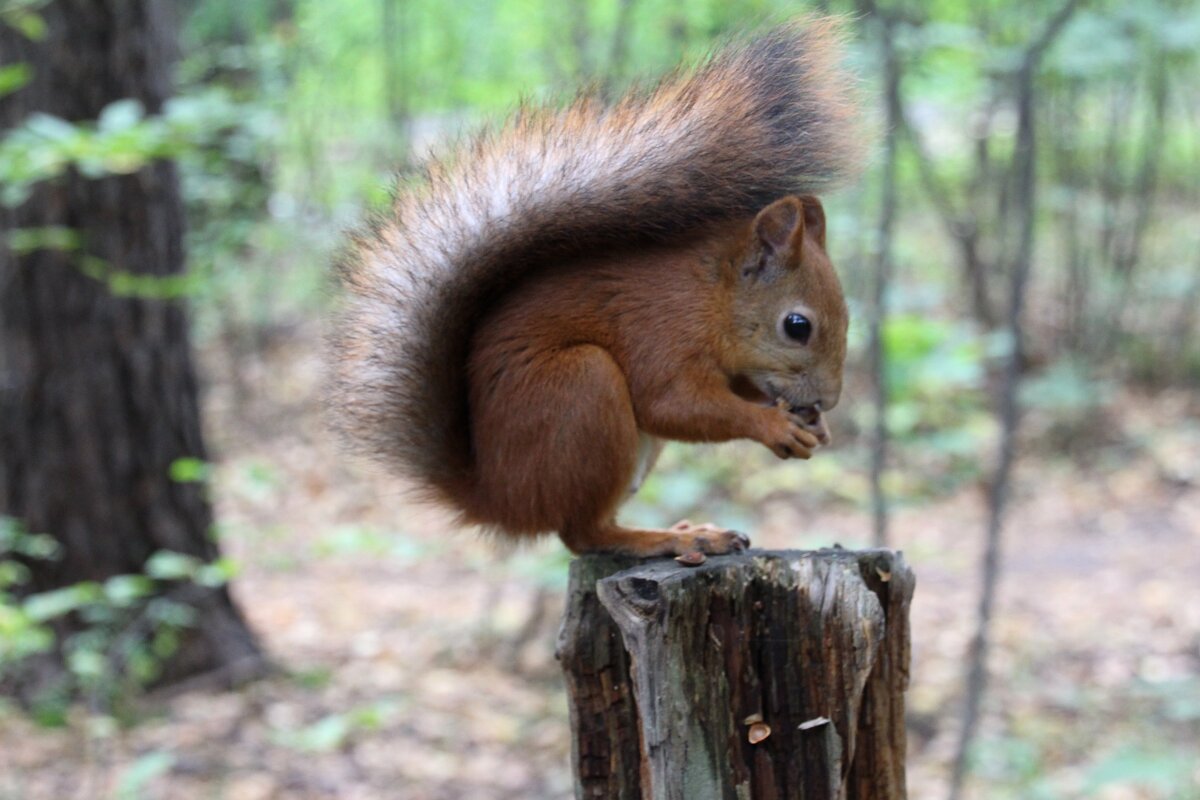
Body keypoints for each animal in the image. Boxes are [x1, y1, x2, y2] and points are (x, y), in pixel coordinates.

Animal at [331, 17, 864, 556]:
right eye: (797, 326)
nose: (828, 401)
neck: (712, 297)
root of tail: (501, 499)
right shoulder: (661, 330)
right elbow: (671, 404)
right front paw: (773, 425)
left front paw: (813, 425)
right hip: (582, 390)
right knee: (584, 533)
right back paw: (663, 539)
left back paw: (684, 530)